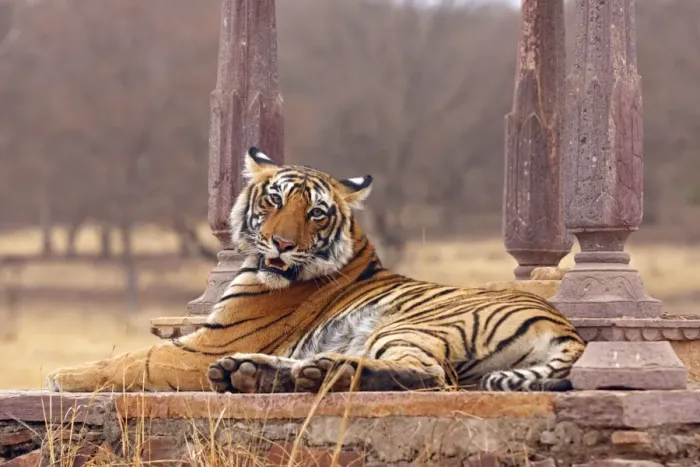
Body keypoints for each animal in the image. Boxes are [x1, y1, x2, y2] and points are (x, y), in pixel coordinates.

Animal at [46, 147, 585, 394]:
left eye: (317, 213)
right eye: (275, 199)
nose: (282, 244)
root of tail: (566, 327)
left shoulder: (204, 346)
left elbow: (131, 359)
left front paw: (60, 375)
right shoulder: (210, 346)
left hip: (409, 326)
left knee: (429, 374)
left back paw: (323, 371)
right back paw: (260, 373)